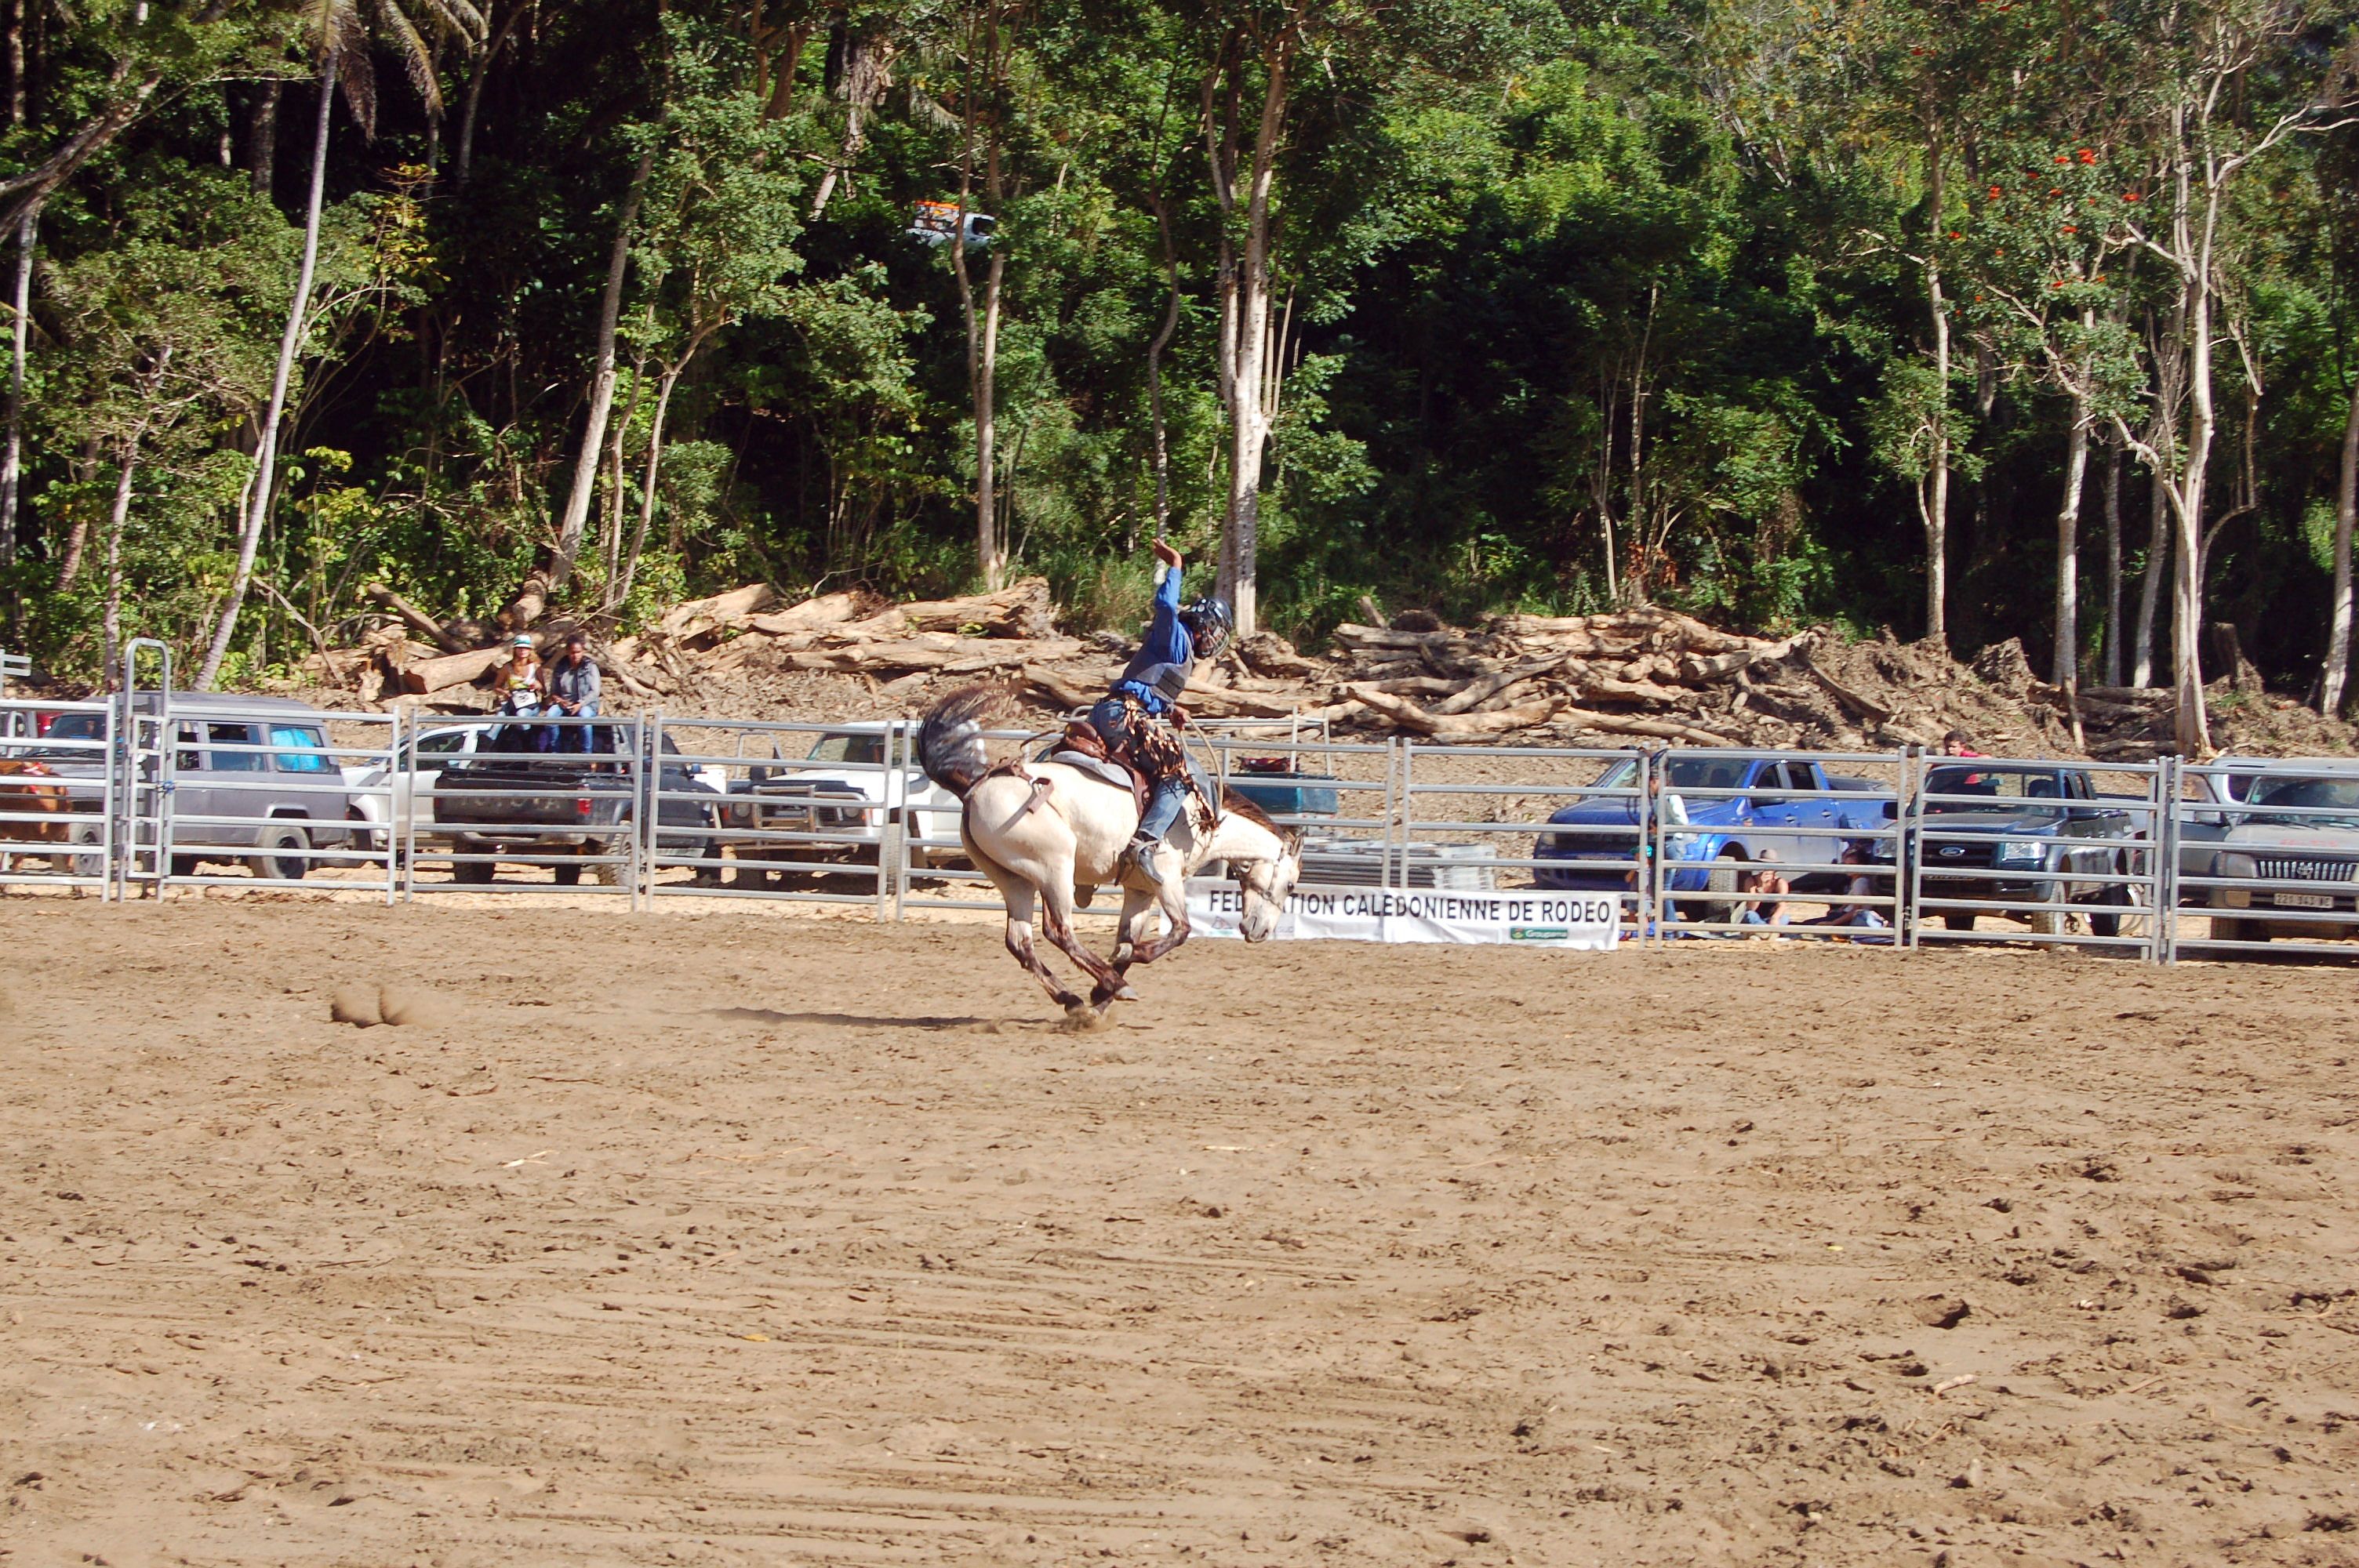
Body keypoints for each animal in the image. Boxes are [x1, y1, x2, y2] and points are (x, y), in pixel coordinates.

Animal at [915, 685, 1304, 1016]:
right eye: (1290, 885)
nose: (1260, 932)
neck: (1200, 816)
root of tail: (975, 788)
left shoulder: (1140, 889)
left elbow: (1128, 938)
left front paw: (1100, 997)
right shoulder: (1166, 878)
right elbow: (1179, 930)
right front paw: (1120, 973)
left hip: (1013, 877)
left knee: (1021, 942)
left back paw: (1075, 999)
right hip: (1054, 866)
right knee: (1059, 931)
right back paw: (1111, 986)